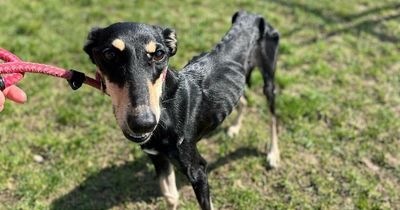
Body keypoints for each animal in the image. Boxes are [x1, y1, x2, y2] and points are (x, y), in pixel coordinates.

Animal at [83, 10, 280, 210]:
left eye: (159, 54)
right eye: (109, 54)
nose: (143, 123)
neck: (166, 106)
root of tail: (251, 14)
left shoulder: (197, 170)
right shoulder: (158, 158)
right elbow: (171, 196)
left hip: (269, 81)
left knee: (273, 118)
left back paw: (273, 154)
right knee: (244, 100)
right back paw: (235, 127)